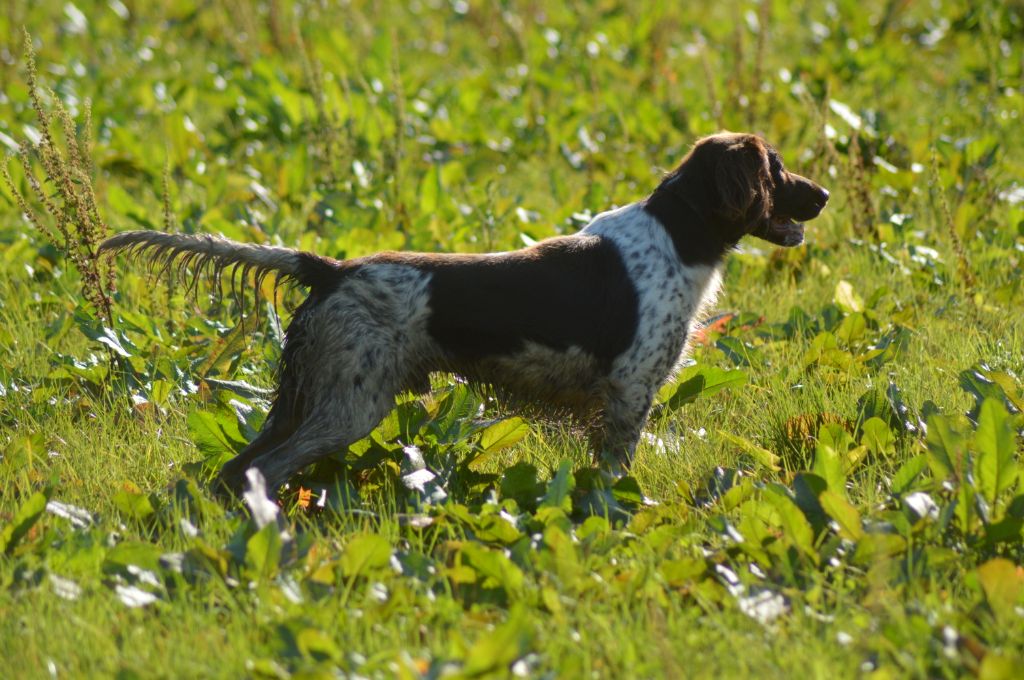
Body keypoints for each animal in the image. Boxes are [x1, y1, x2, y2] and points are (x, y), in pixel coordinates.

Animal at [99, 131, 827, 493]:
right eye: (778, 168)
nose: (823, 194)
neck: (679, 235)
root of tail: (331, 268)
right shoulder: (629, 395)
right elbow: (616, 476)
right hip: (349, 405)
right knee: (264, 470)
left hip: (302, 399)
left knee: (234, 470)